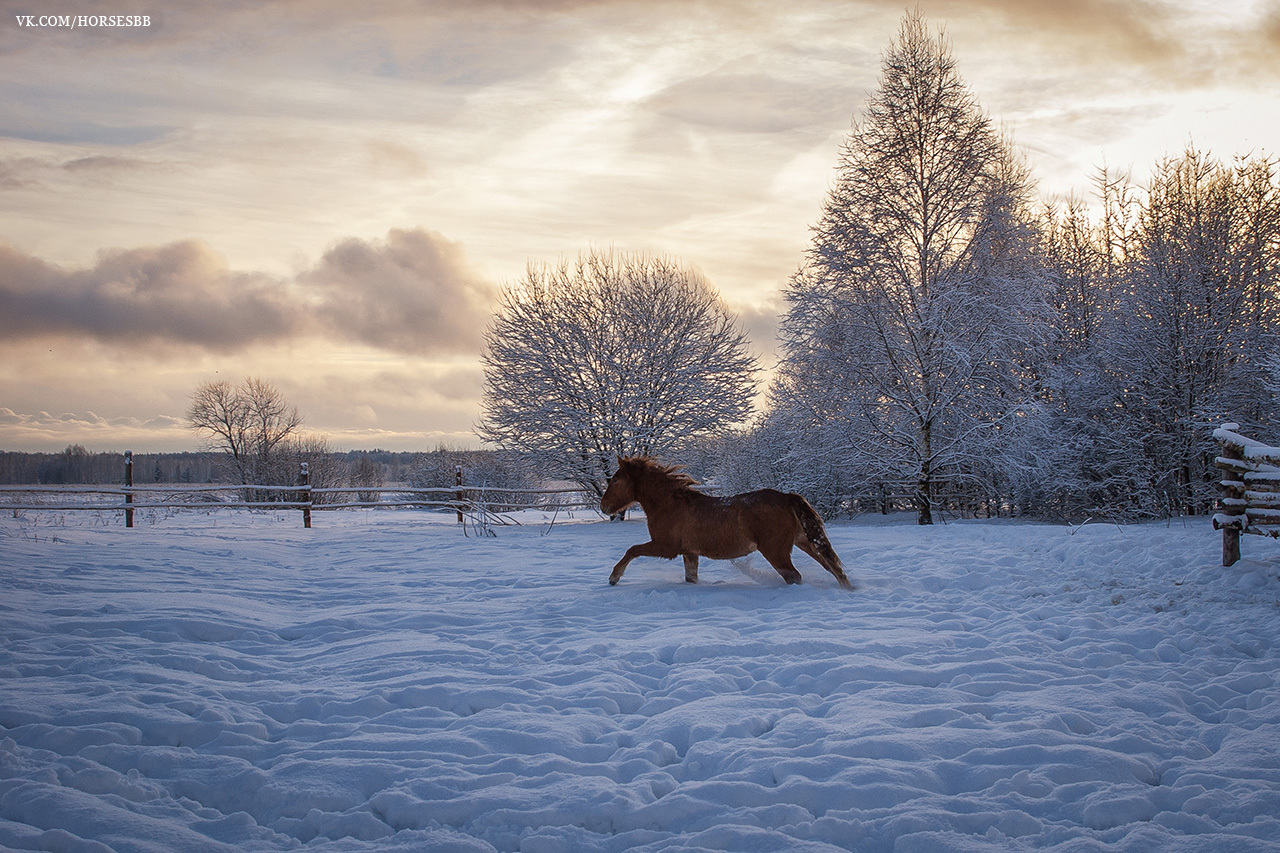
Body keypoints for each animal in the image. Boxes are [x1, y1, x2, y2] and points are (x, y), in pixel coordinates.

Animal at [601, 455, 860, 589]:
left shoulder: (666, 547)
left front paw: (614, 578)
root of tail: (787, 497)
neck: (669, 504)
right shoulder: (689, 552)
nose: (604, 507)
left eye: (615, 480)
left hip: (776, 551)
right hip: (804, 542)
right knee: (832, 567)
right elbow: (691, 577)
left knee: (794, 576)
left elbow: (632, 550)